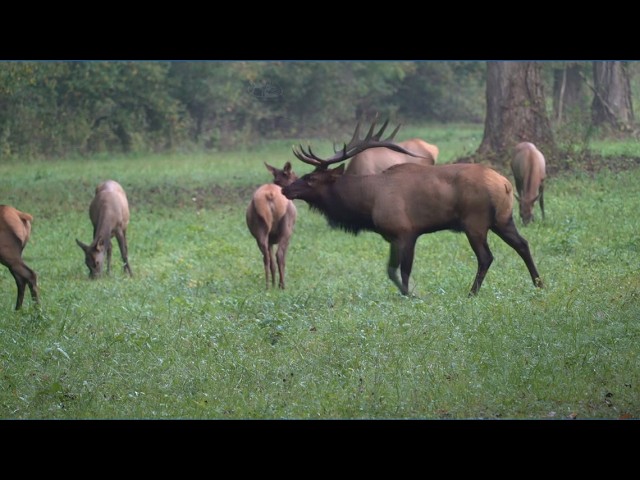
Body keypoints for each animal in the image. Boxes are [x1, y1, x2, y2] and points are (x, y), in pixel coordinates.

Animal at [282, 119, 544, 297]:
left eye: (310, 179)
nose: (286, 190)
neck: (367, 204)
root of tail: (505, 184)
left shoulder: (406, 232)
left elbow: (404, 271)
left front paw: (411, 295)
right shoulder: (392, 236)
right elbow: (390, 270)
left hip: (475, 222)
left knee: (486, 257)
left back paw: (472, 293)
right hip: (503, 219)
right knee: (523, 244)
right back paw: (539, 283)